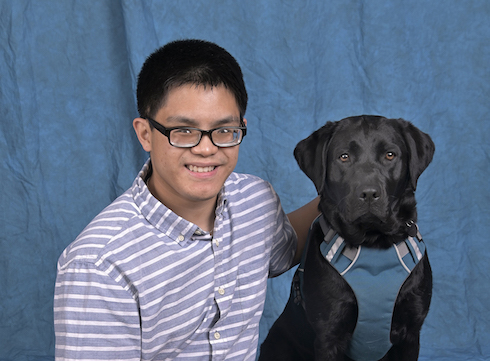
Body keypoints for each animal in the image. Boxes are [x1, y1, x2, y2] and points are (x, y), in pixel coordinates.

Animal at [258, 115, 434, 360]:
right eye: (344, 157)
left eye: (390, 155)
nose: (369, 193)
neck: (373, 243)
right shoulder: (329, 335)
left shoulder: (410, 333)